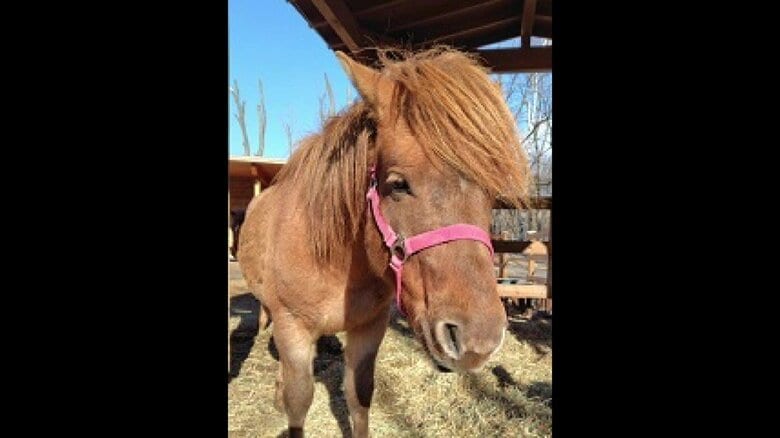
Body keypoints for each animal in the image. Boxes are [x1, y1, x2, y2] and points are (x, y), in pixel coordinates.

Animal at [237, 47, 530, 438]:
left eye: (491, 193)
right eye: (398, 184)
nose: (478, 341)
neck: (330, 258)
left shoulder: (369, 327)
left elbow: (359, 395)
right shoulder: (292, 327)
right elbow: (298, 403)